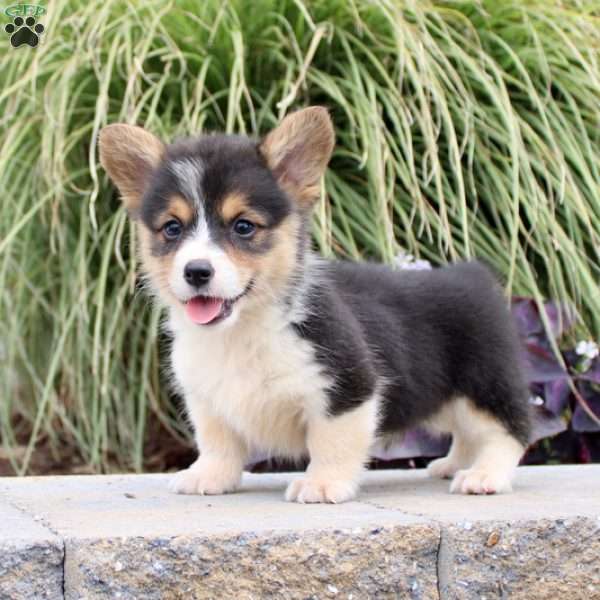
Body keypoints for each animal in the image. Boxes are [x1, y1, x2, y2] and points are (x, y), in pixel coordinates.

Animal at [98, 106, 528, 502]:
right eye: (172, 228)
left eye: (243, 226)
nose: (197, 271)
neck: (243, 329)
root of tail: (473, 274)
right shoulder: (207, 400)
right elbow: (218, 442)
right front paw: (209, 476)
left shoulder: (348, 387)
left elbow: (331, 442)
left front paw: (322, 484)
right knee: (467, 435)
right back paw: (452, 464)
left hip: (483, 385)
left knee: (510, 431)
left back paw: (483, 475)